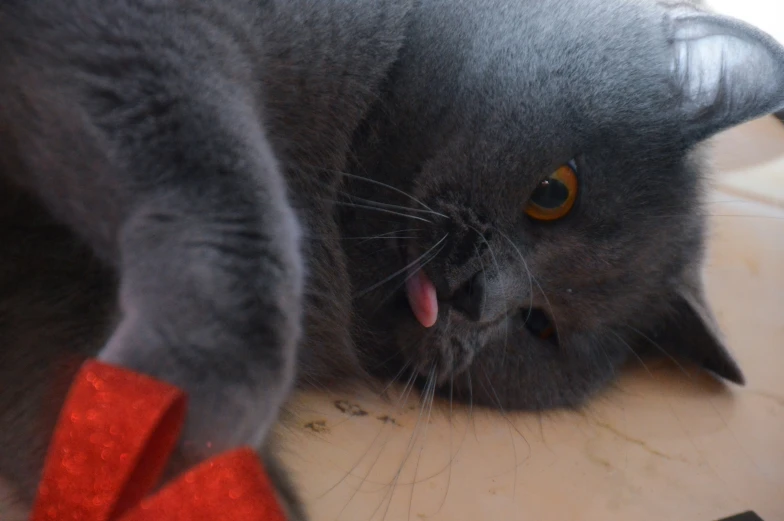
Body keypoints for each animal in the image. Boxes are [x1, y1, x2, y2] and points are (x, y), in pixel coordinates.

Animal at [1, 0, 784, 512]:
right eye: (555, 191)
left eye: (538, 327)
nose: (477, 295)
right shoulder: (153, 37)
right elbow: (233, 211)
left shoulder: (48, 299)